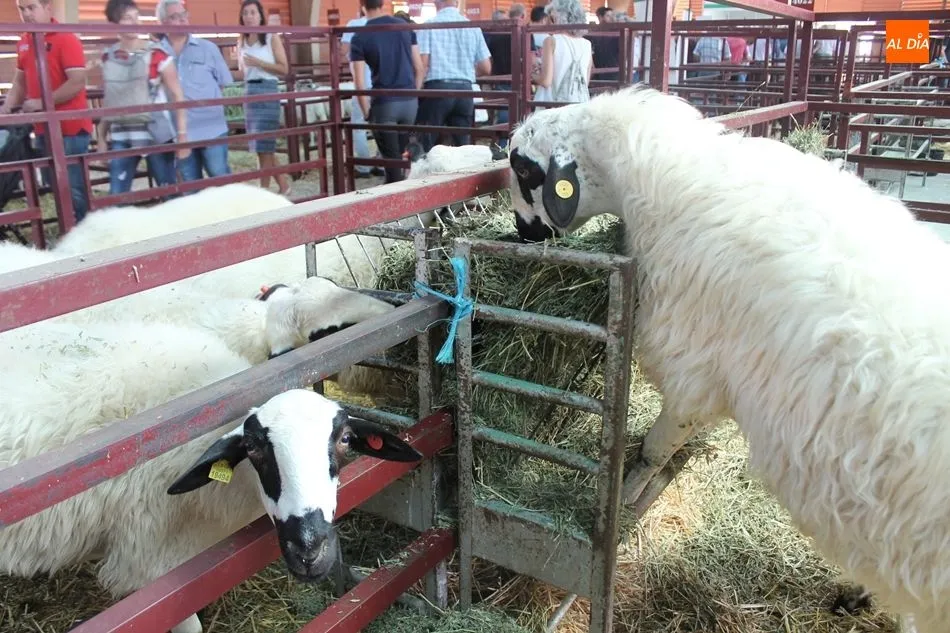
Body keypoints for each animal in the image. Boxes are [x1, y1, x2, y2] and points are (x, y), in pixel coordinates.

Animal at [506, 84, 950, 633]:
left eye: (524, 169)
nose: (522, 234)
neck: (665, 171)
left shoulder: (691, 369)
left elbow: (655, 450)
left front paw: (626, 496)